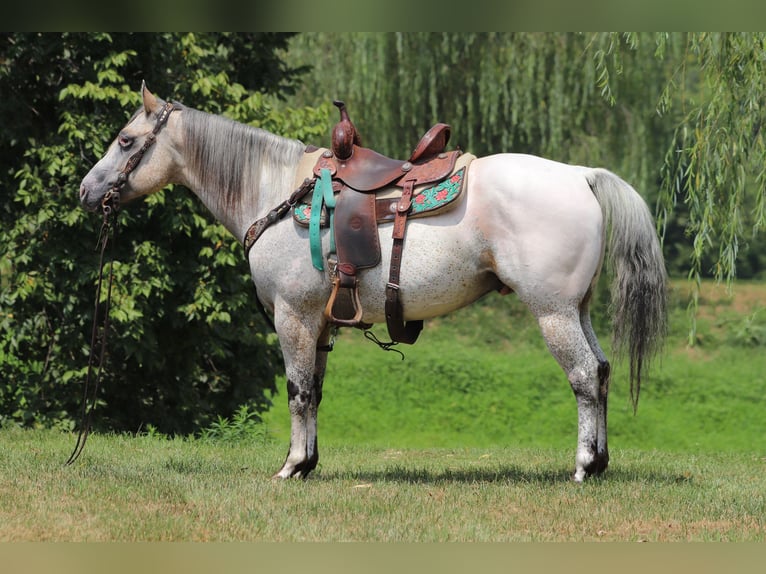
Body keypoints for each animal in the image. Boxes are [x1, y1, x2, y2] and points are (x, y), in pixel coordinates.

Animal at [78, 84, 664, 482]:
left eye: (126, 140)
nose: (86, 190)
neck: (278, 190)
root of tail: (581, 174)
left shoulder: (292, 316)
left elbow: (296, 391)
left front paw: (291, 466)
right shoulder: (318, 324)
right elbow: (314, 392)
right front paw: (308, 463)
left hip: (552, 311)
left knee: (584, 376)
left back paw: (584, 465)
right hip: (577, 309)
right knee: (602, 371)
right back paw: (601, 461)